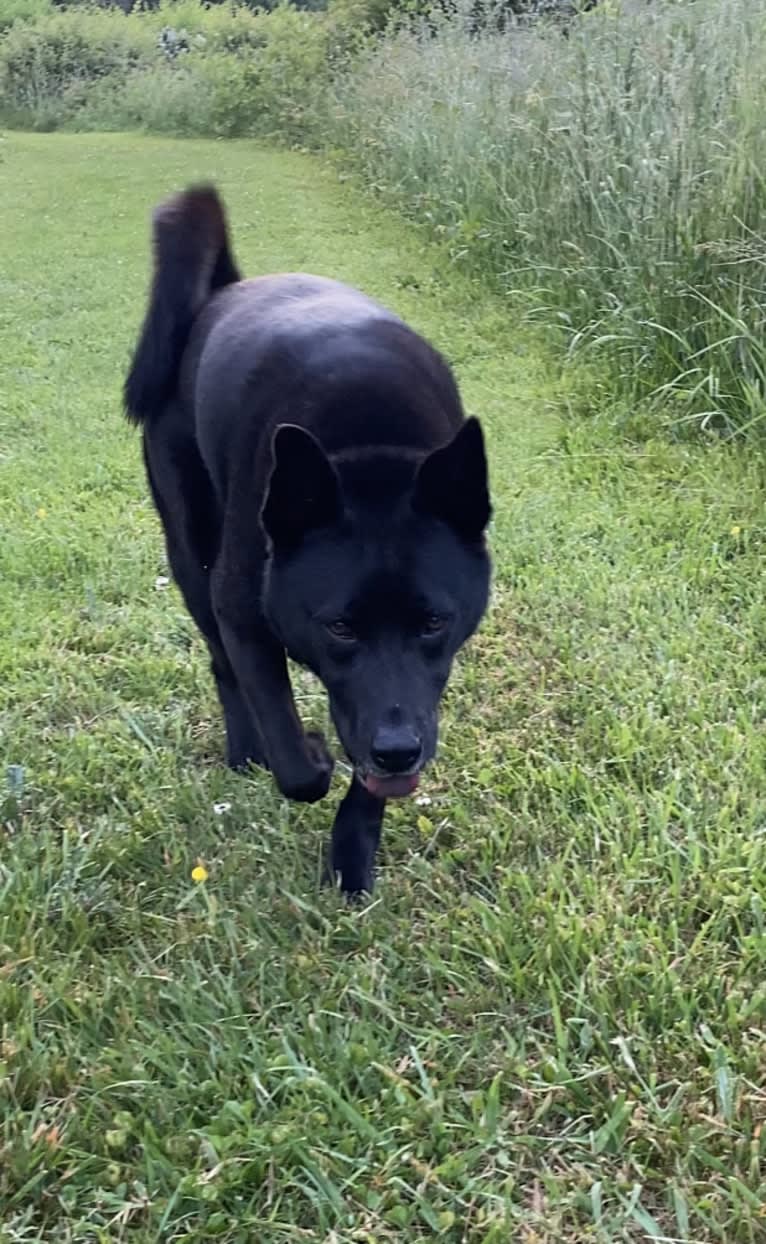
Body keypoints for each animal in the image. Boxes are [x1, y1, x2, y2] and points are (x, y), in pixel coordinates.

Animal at [121, 184, 487, 895]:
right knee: (220, 662)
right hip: (188, 551)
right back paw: (245, 751)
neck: (370, 450)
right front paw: (309, 756)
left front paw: (351, 855)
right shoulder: (246, 614)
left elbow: (370, 768)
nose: (398, 751)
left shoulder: (398, 702)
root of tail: (223, 290)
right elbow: (294, 759)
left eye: (434, 622)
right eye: (339, 627)